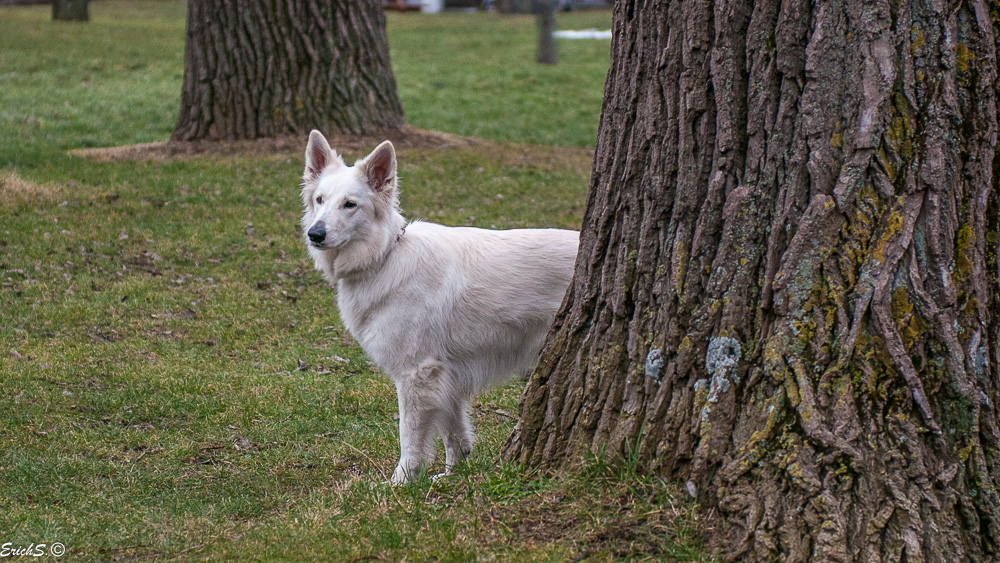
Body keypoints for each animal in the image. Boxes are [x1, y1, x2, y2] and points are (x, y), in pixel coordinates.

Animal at [298, 132, 580, 484]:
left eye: (349, 204)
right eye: (320, 200)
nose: (315, 234)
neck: (386, 255)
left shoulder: (417, 374)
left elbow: (410, 437)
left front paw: (401, 482)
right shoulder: (446, 377)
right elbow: (454, 433)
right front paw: (452, 475)